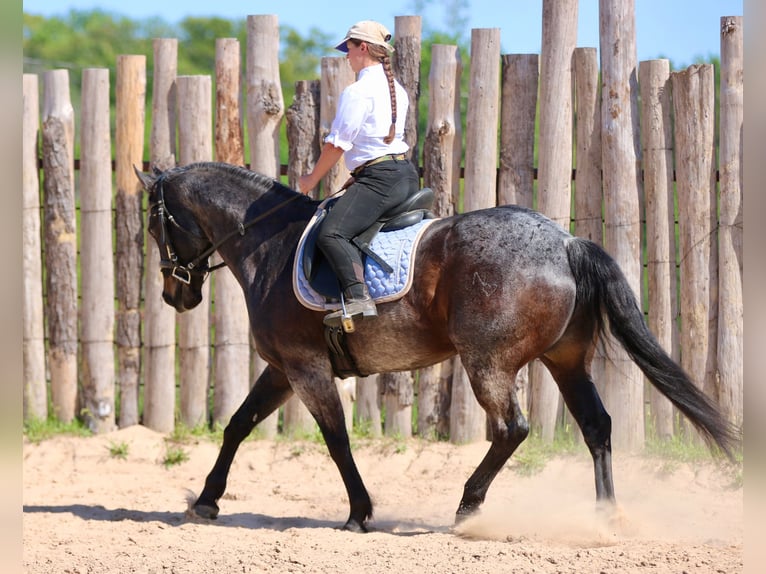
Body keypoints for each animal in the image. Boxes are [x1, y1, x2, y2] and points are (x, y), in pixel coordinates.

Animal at [135, 161, 738, 533]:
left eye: (154, 225)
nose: (174, 294)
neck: (272, 245)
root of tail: (566, 241)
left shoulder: (305, 369)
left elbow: (337, 441)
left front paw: (359, 512)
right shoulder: (284, 369)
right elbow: (238, 425)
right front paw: (206, 500)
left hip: (487, 362)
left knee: (511, 428)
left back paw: (469, 507)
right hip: (566, 360)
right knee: (596, 426)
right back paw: (605, 517)